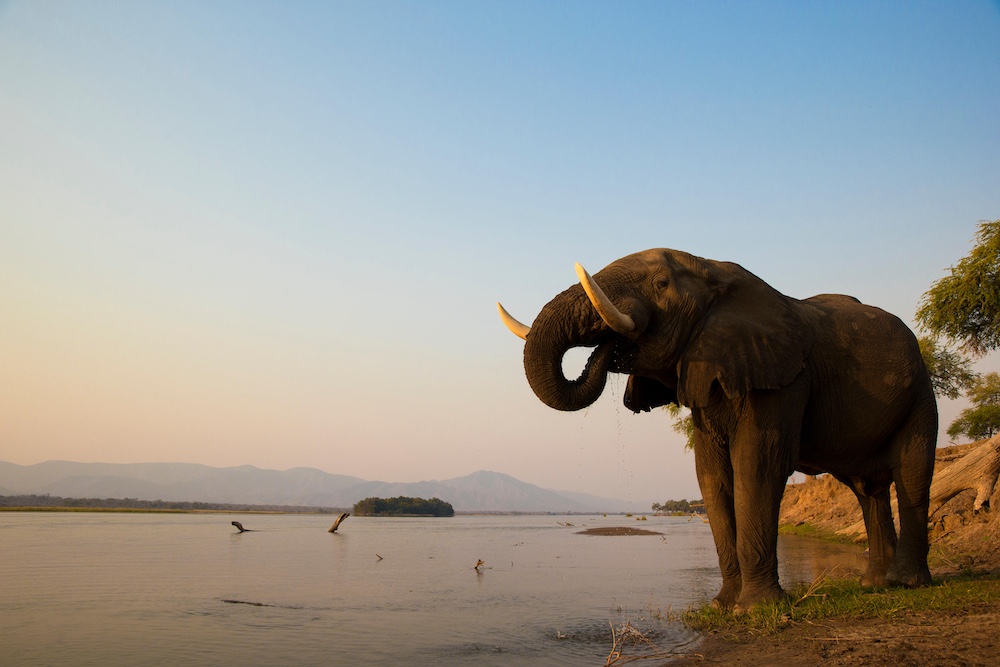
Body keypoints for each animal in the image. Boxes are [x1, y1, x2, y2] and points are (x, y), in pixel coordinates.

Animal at [498, 248, 937, 611]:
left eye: (661, 284)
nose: (610, 348)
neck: (714, 271)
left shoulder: (782, 379)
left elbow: (757, 466)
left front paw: (755, 609)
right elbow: (711, 476)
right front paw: (723, 606)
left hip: (921, 391)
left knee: (911, 474)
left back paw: (906, 583)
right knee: (867, 489)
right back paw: (874, 585)